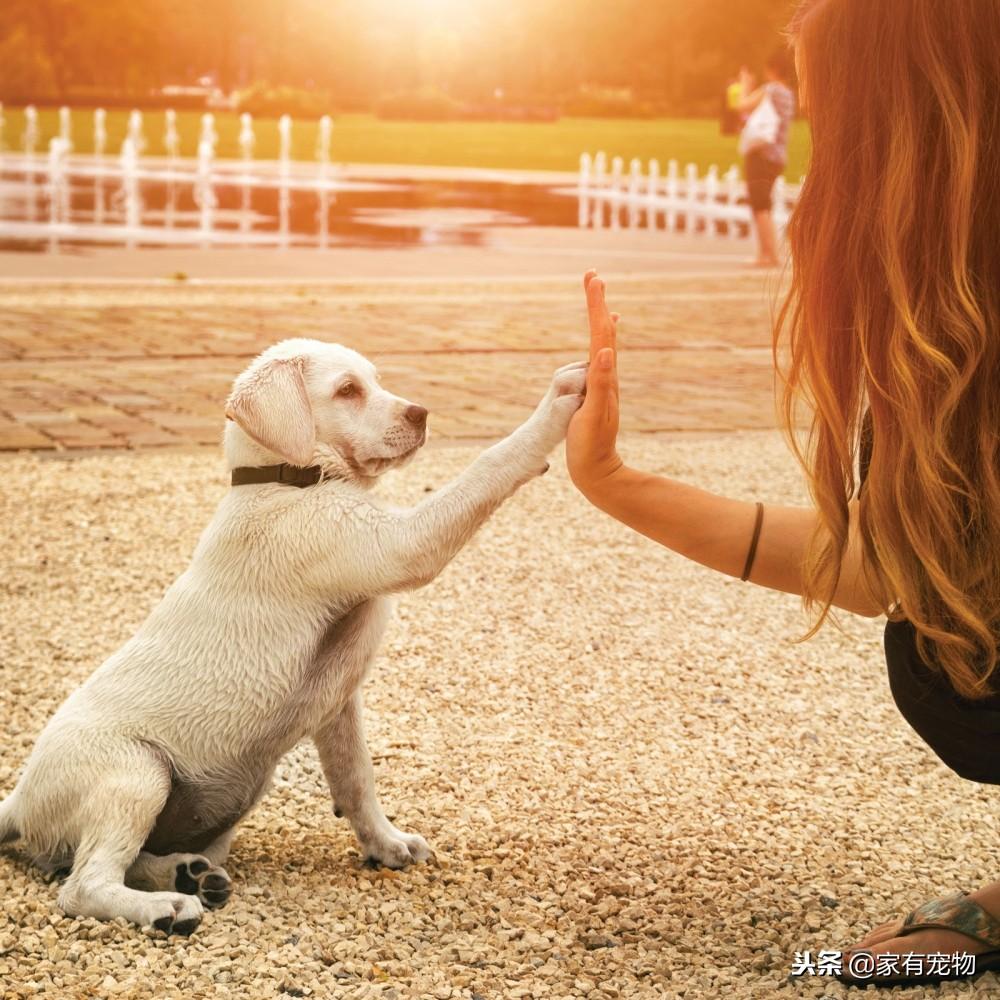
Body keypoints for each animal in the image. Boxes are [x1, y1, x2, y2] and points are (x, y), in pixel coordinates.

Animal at [0, 340, 588, 932]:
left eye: (376, 381)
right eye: (348, 390)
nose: (421, 414)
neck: (283, 479)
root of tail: (19, 800)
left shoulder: (339, 702)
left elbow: (356, 779)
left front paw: (386, 843)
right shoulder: (398, 545)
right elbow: (487, 466)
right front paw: (558, 402)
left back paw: (189, 875)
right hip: (137, 774)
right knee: (81, 886)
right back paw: (166, 907)